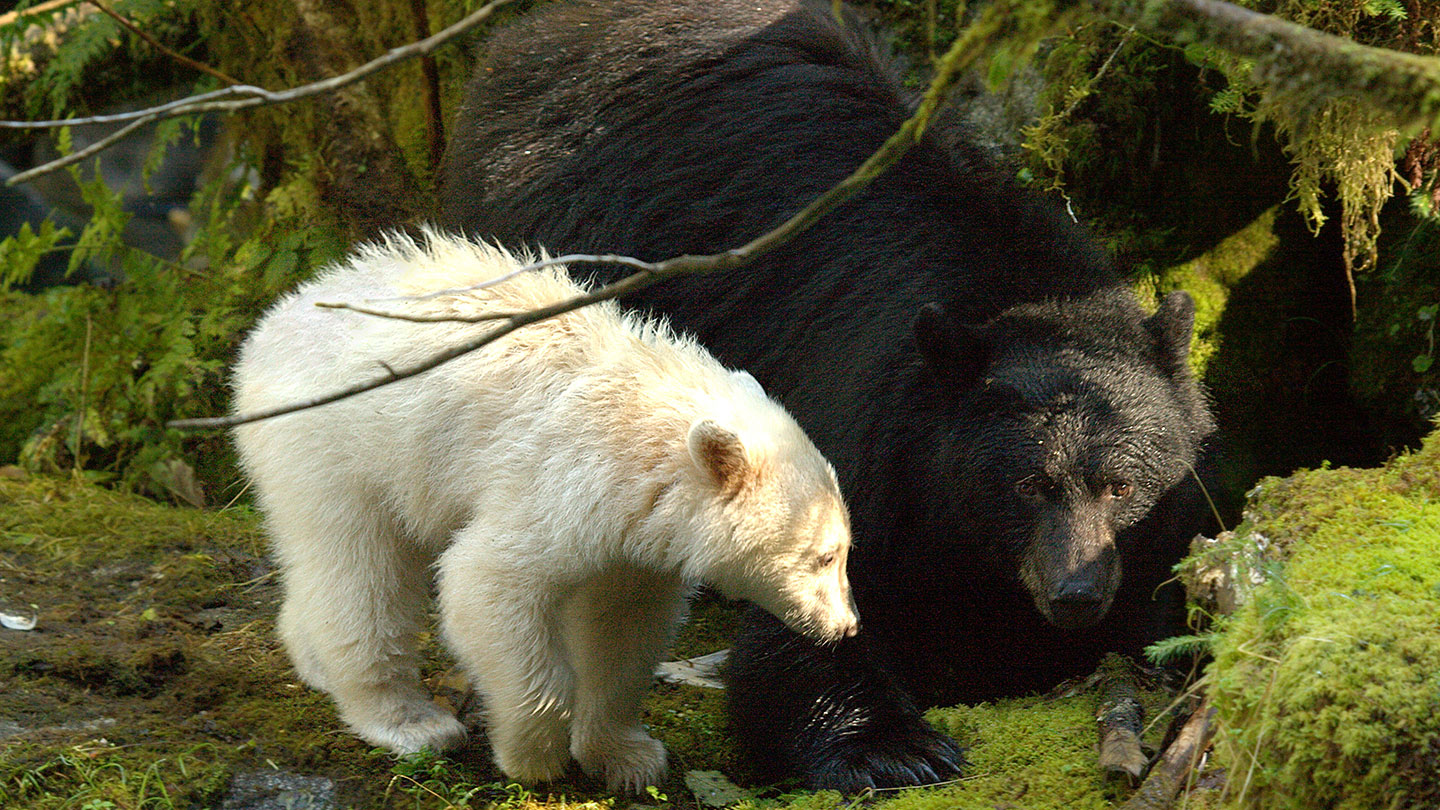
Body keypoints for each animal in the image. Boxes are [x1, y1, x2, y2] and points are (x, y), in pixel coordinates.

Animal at [233, 232, 852, 789]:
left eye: (847, 549)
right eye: (824, 556)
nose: (846, 627)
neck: (646, 435)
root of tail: (270, 328)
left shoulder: (636, 538)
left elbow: (621, 629)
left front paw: (628, 756)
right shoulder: (561, 480)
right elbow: (488, 583)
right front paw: (533, 756)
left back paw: (314, 662)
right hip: (338, 447)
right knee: (363, 571)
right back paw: (411, 721)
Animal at [437, 0, 1215, 789]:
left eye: (1121, 486)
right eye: (1029, 484)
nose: (1075, 596)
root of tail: (526, 39)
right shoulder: (865, 419)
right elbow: (818, 600)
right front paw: (892, 747)